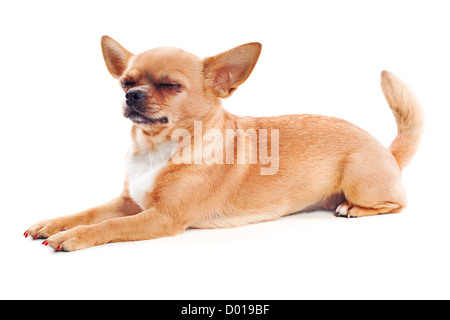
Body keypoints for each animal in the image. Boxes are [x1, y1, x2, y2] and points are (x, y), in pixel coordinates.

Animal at [24, 35, 424, 250]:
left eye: (170, 86)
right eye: (126, 82)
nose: (131, 95)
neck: (156, 149)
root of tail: (387, 150)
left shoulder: (162, 218)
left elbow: (107, 226)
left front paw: (74, 237)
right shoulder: (129, 202)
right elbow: (90, 212)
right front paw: (56, 223)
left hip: (361, 182)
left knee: (396, 204)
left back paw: (353, 209)